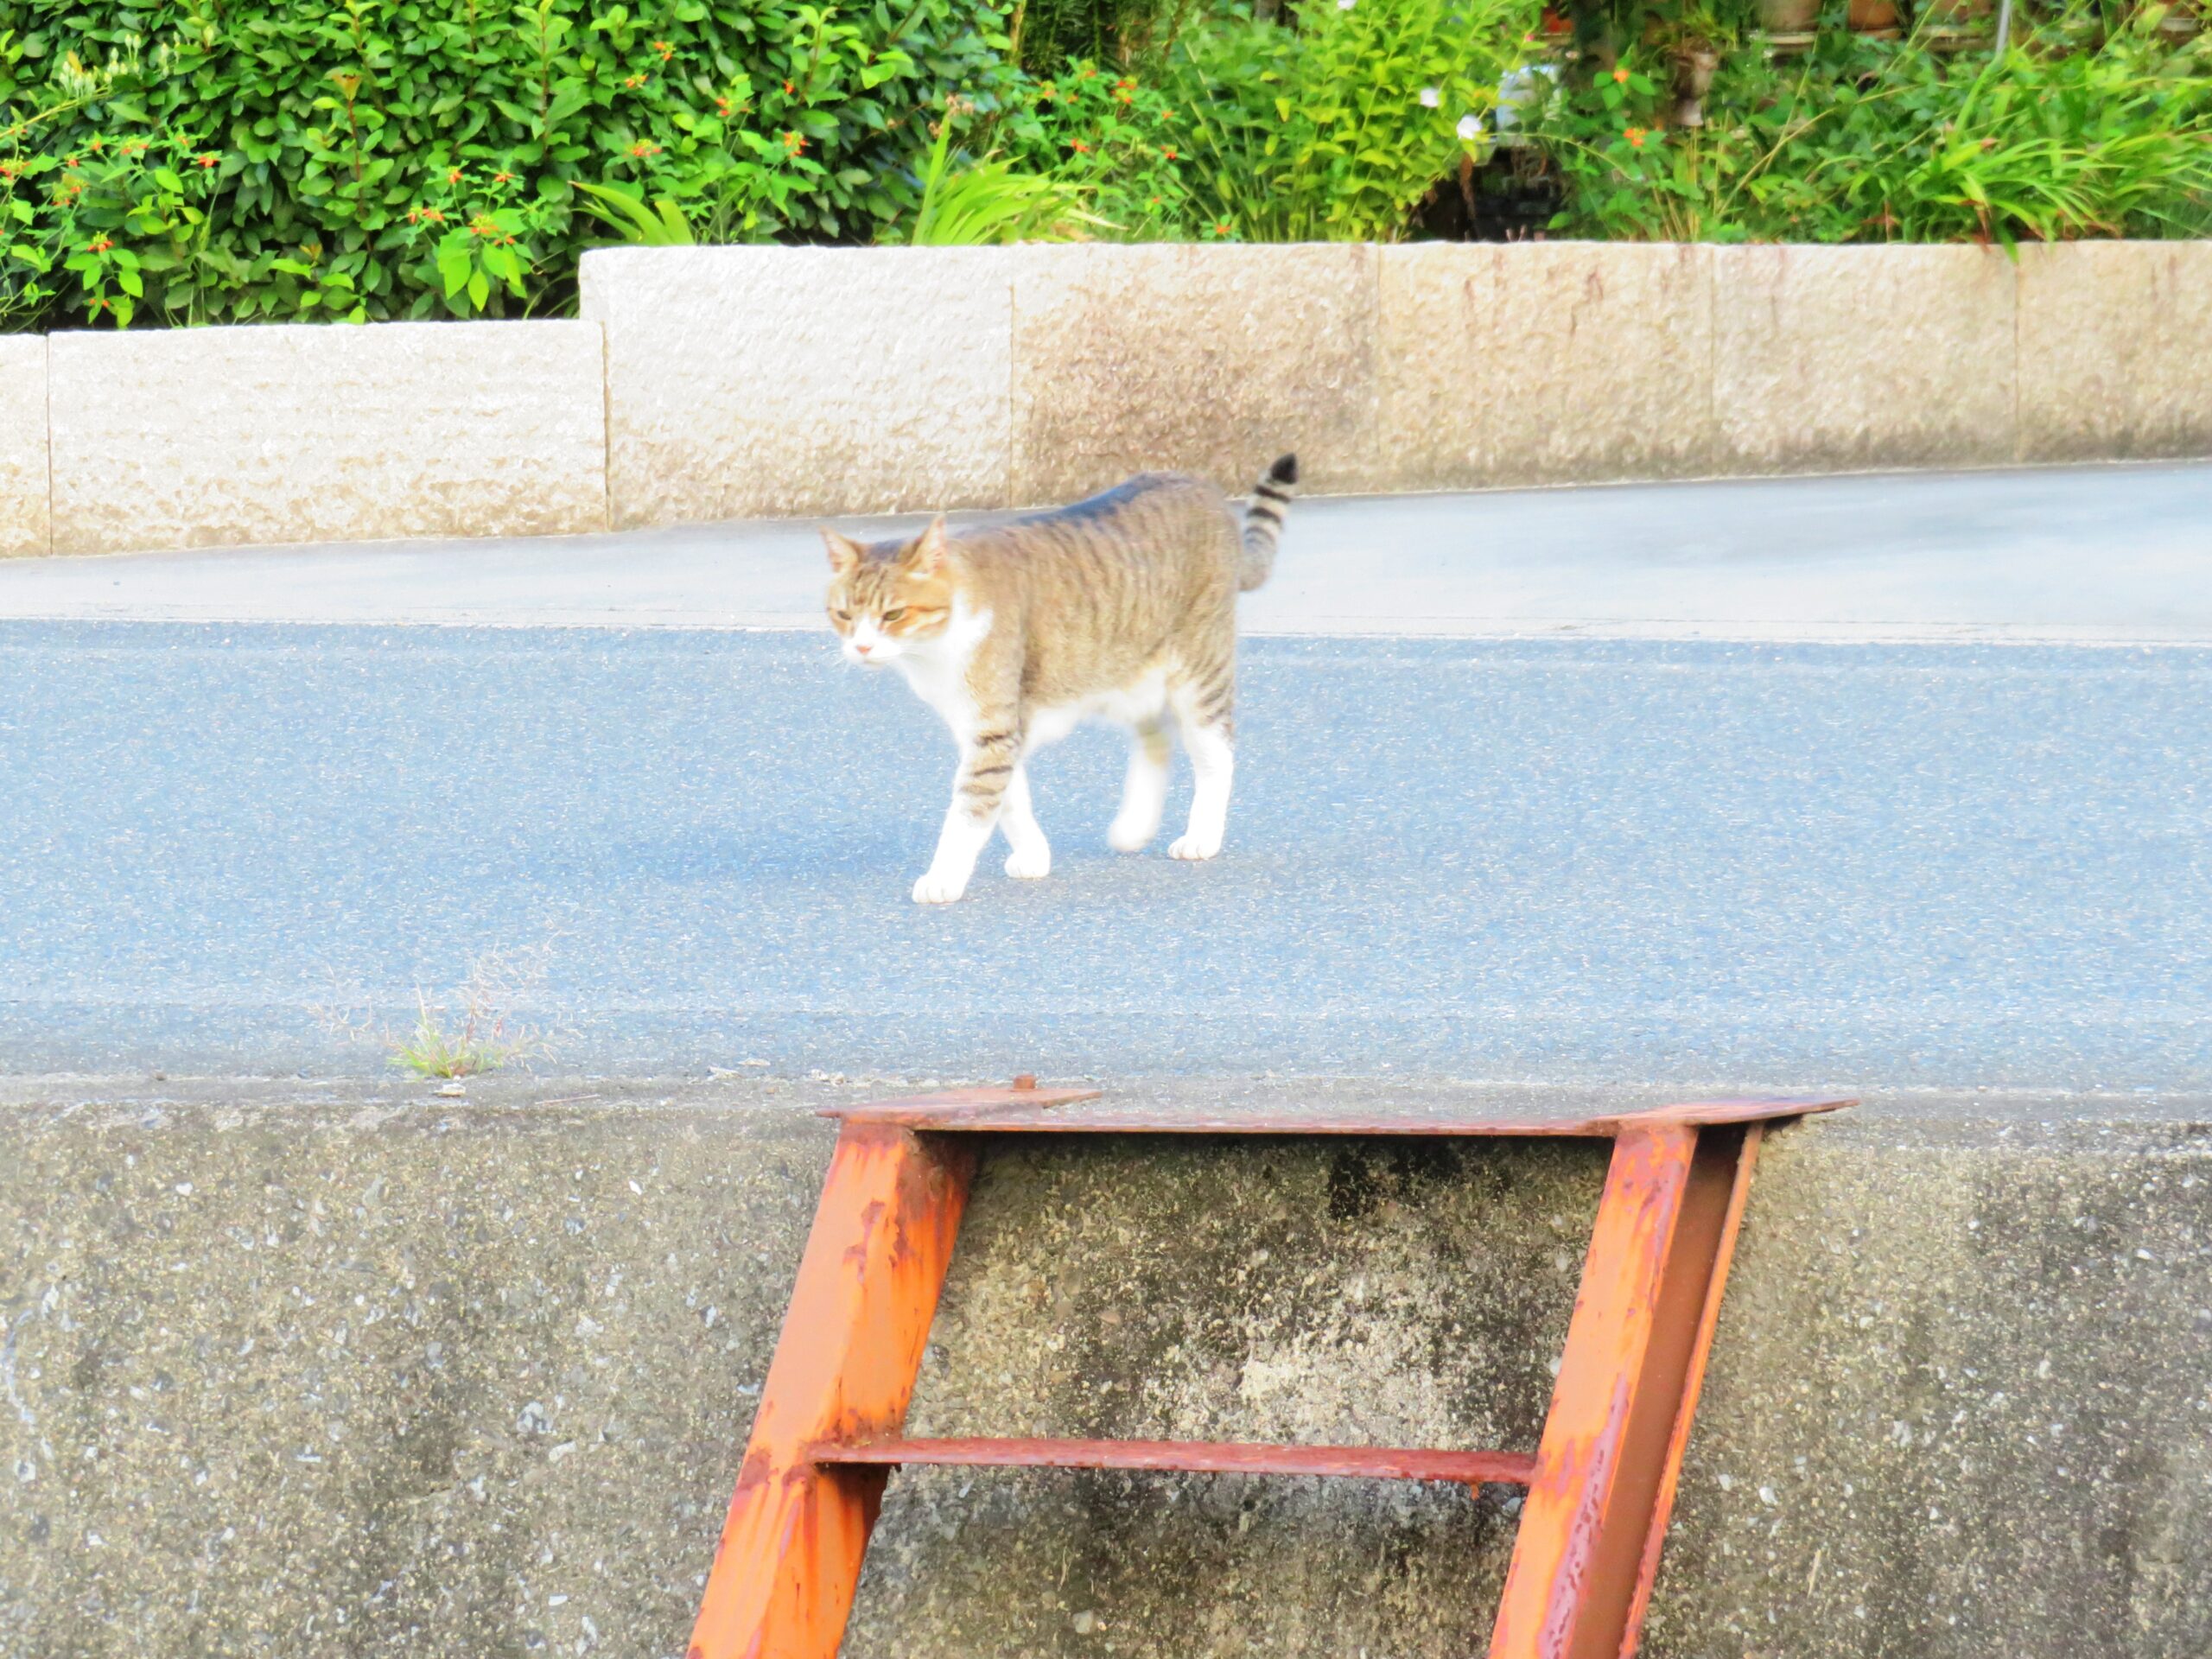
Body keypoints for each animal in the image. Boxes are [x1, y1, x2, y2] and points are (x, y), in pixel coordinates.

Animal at [827, 455, 1292, 911]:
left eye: (893, 615)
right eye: (844, 615)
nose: (862, 647)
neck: (933, 652)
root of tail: (1201, 486)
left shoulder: (993, 727)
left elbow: (970, 810)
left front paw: (943, 879)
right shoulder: (983, 727)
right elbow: (1012, 800)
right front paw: (1033, 854)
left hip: (1198, 672)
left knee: (1216, 755)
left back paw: (1202, 837)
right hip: (1125, 671)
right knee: (1156, 736)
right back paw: (1134, 826)